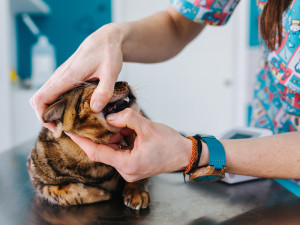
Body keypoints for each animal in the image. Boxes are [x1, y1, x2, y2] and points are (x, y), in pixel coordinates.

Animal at [26, 81, 150, 210]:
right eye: (96, 86)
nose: (126, 83)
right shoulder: (37, 179)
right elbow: (59, 192)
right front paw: (100, 193)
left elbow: (139, 175)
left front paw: (136, 192)